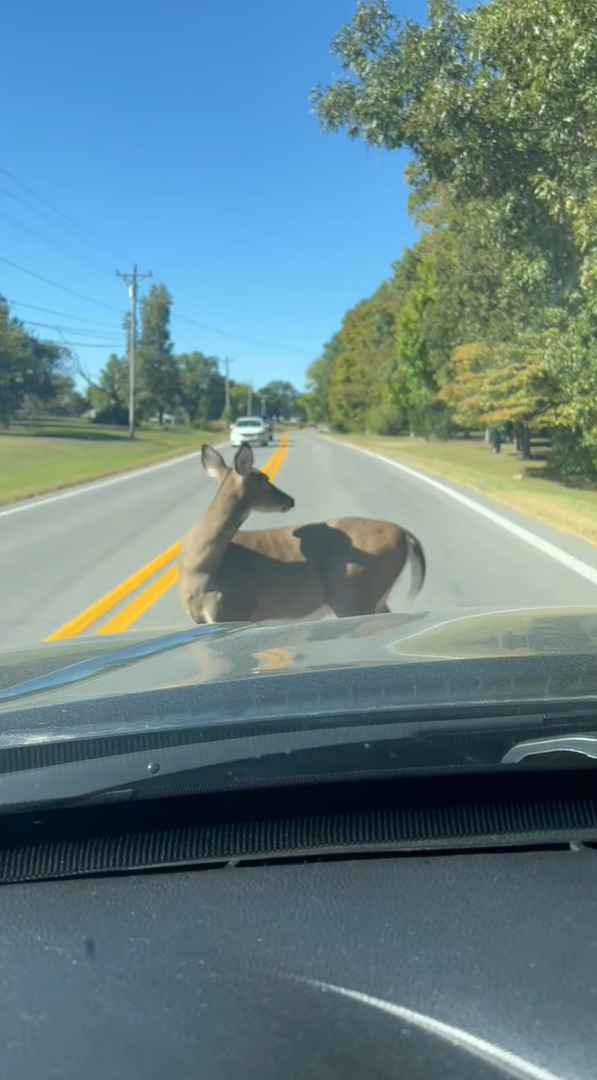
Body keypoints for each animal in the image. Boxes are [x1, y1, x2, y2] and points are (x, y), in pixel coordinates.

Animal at [177, 440, 423, 626]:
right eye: (265, 478)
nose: (290, 499)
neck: (202, 568)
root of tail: (403, 532)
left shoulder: (233, 610)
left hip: (353, 592)